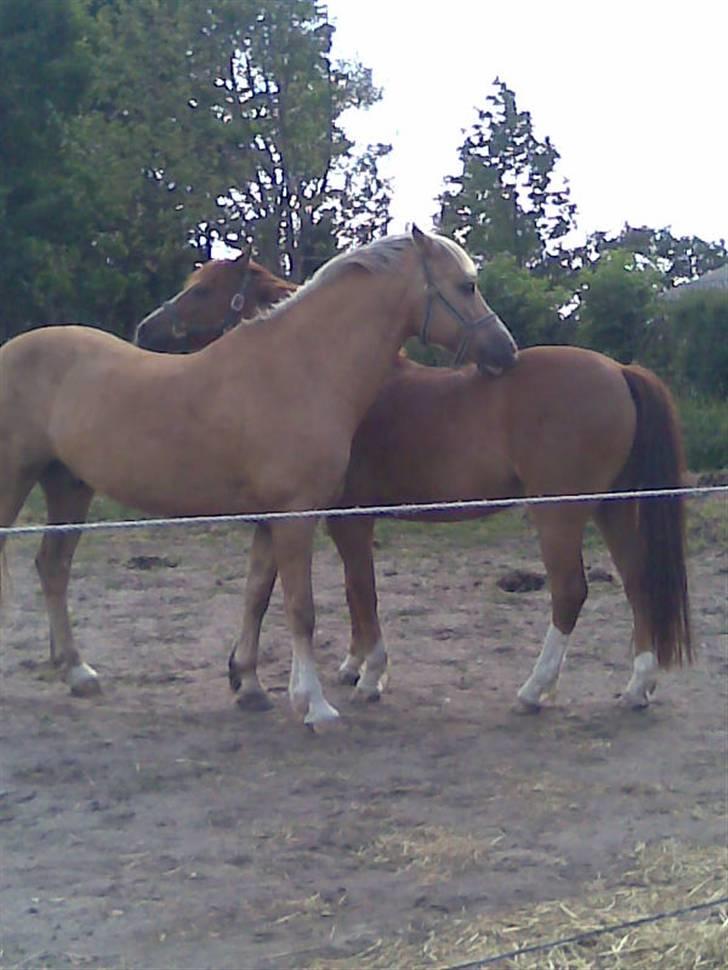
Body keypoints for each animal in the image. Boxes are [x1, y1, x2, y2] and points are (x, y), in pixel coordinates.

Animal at [0, 227, 518, 727]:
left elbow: (257, 597)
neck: (300, 369)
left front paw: (249, 685)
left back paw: (77, 672)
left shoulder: (273, 520)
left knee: (53, 567)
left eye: (202, 290)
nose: (506, 351)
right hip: (16, 481)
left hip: (68, 486)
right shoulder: (297, 517)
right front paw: (315, 705)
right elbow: (301, 609)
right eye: (466, 286)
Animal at [136, 255, 692, 714]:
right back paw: (638, 687)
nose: (145, 330)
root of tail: (618, 370)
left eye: (204, 291)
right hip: (612, 508)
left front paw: (369, 676)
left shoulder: (345, 520)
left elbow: (360, 590)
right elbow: (349, 591)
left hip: (559, 513)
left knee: (570, 592)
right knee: (637, 581)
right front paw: (353, 665)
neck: (333, 381)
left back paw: (535, 690)